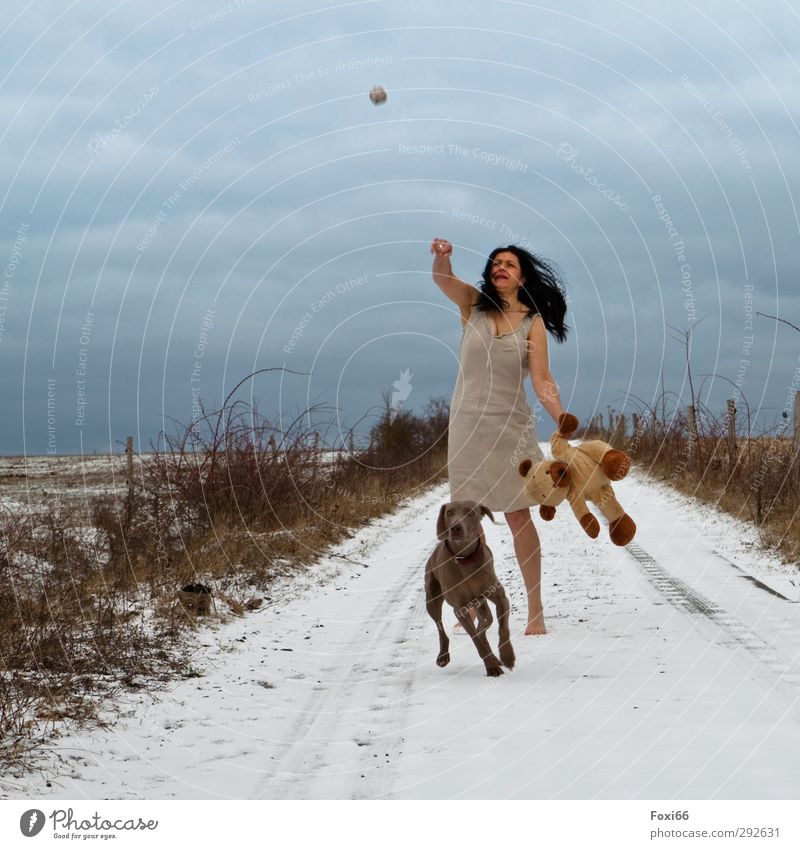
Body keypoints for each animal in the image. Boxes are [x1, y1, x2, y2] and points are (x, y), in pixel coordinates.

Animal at [428, 504, 516, 676]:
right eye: (449, 512)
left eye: (470, 512)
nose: (455, 528)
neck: (465, 560)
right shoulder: (460, 609)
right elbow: (476, 641)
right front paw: (491, 667)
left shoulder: (500, 598)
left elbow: (503, 629)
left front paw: (507, 657)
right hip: (431, 598)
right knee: (440, 627)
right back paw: (443, 656)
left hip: (482, 606)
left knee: (484, 624)